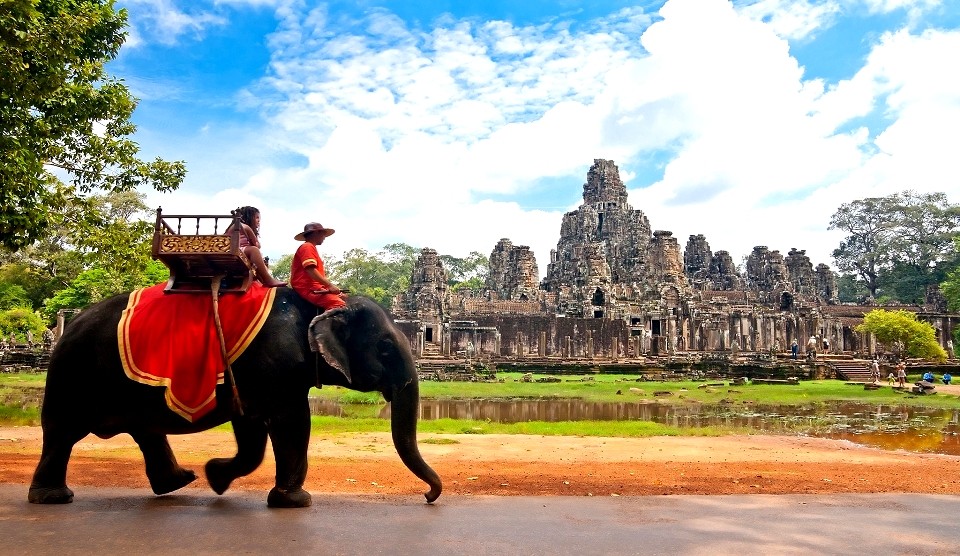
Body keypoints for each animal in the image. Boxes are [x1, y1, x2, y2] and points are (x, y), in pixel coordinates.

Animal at [29, 288, 442, 506]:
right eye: (385, 347)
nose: (427, 497)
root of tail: (68, 325)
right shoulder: (276, 367)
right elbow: (293, 423)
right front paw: (295, 501)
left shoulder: (251, 380)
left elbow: (253, 435)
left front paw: (217, 477)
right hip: (73, 376)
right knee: (62, 433)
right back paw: (52, 497)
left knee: (144, 431)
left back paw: (178, 482)